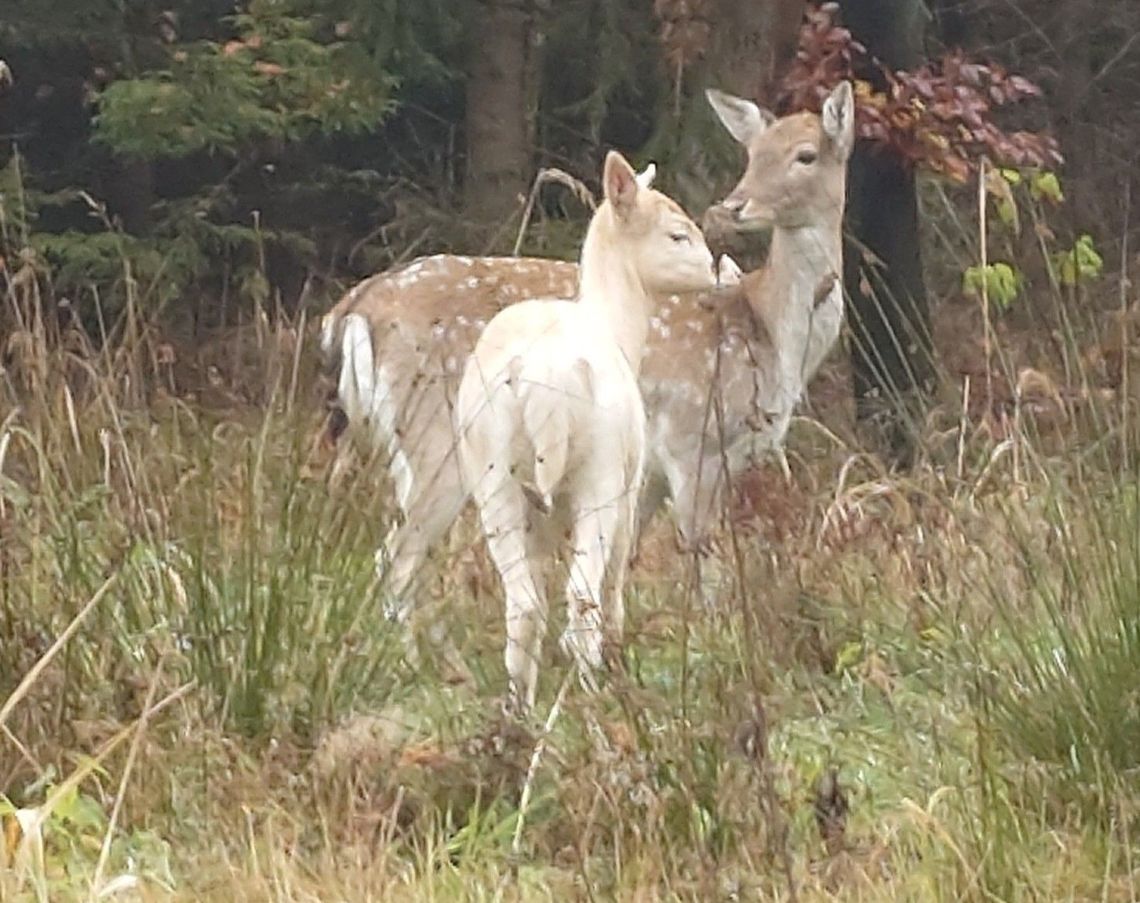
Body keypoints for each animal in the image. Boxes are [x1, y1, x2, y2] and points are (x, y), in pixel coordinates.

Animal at [323, 77, 857, 647]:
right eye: (753, 153)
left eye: (804, 155)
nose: (734, 206)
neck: (772, 336)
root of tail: (349, 312)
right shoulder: (694, 440)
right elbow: (705, 570)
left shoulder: (646, 473)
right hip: (437, 439)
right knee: (396, 558)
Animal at [453, 149, 711, 711]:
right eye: (677, 235)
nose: (716, 271)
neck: (620, 327)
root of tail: (539, 373)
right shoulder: (631, 489)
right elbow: (614, 583)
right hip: (601, 471)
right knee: (585, 594)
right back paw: (593, 695)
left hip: (493, 476)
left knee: (524, 601)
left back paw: (520, 710)